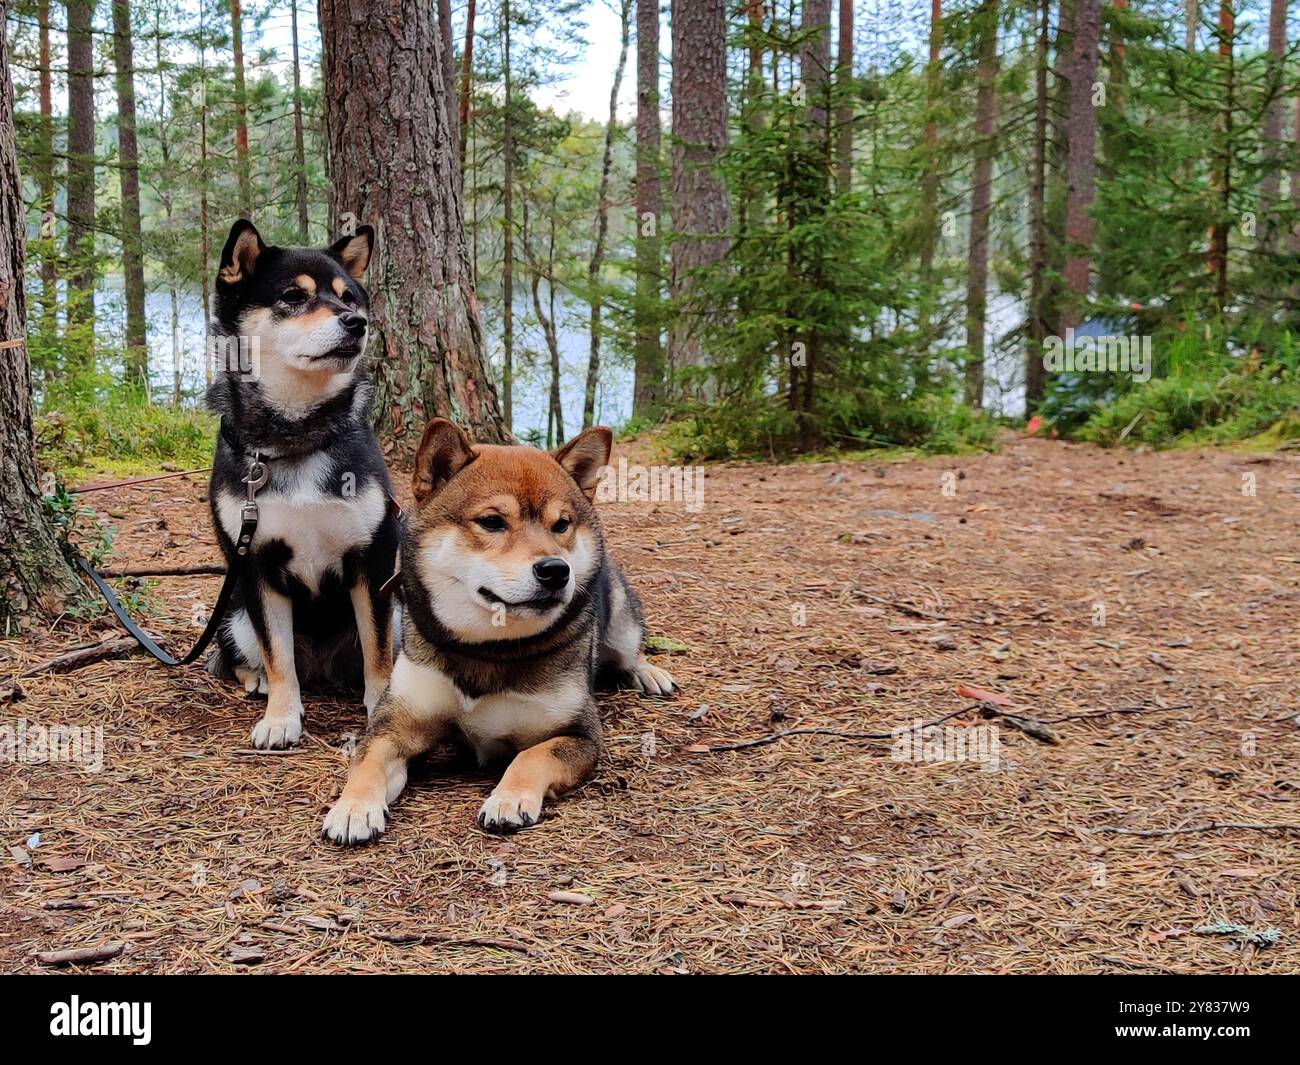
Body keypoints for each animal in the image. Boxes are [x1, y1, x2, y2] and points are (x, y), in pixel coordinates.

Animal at [200, 217, 395, 749]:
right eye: (293, 296)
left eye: (349, 298)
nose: (356, 323)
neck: (294, 437)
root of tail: (323, 668)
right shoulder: (254, 567)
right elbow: (278, 656)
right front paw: (281, 718)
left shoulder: (372, 559)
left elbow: (379, 655)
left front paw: (381, 710)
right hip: (233, 614)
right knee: (246, 658)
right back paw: (257, 682)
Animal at [319, 416, 676, 842]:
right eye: (492, 522)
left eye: (562, 525)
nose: (556, 570)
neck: (486, 648)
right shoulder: (397, 723)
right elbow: (367, 759)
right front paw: (353, 806)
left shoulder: (580, 734)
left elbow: (532, 755)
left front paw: (509, 798)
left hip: (621, 621)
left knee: (628, 652)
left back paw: (650, 673)